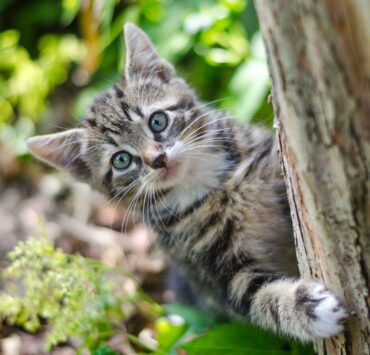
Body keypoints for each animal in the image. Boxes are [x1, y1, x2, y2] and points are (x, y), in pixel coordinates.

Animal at [26, 23, 346, 342]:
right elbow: (258, 298)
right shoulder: (213, 271)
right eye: (121, 160)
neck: (212, 187)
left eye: (157, 121)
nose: (158, 159)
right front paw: (306, 307)